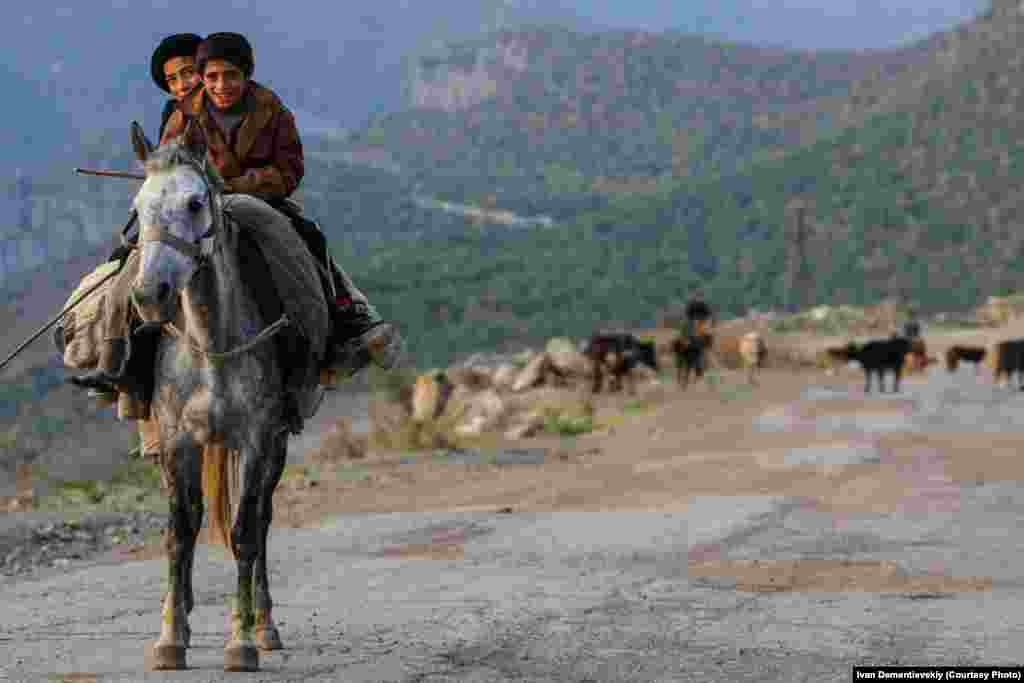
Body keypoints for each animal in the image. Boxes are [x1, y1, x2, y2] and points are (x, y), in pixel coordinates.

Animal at [126, 124, 319, 671]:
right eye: (138, 206)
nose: (149, 294)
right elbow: (178, 531)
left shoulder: (256, 439)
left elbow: (244, 533)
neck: (211, 344)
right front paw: (171, 637)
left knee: (263, 519)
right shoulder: (176, 441)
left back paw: (266, 624)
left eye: (195, 203)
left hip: (275, 446)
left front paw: (242, 641)